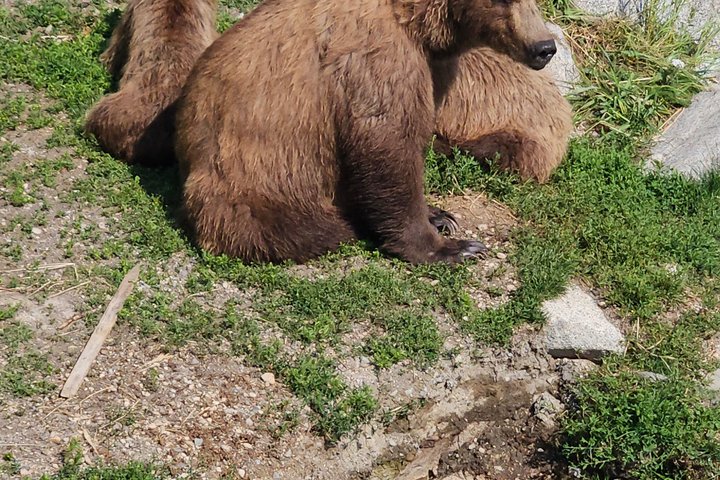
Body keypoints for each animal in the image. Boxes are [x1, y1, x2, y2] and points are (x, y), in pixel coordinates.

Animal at [174, 0, 562, 264]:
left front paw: (439, 214)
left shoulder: (433, 70)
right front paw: (453, 247)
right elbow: (386, 147)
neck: (419, 25)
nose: (545, 47)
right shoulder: (376, 62)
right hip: (257, 180)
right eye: (504, 0)